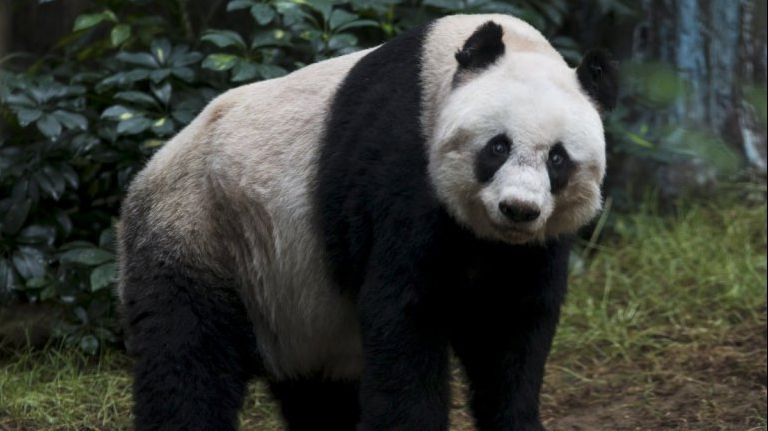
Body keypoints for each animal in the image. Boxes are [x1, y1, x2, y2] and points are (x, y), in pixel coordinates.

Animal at [118, 13, 617, 431]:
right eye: (497, 146)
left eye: (558, 159)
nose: (518, 209)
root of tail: (145, 173)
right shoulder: (400, 168)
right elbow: (404, 314)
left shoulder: (531, 247)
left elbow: (509, 327)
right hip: (203, 231)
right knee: (187, 356)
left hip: (294, 301)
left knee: (319, 395)